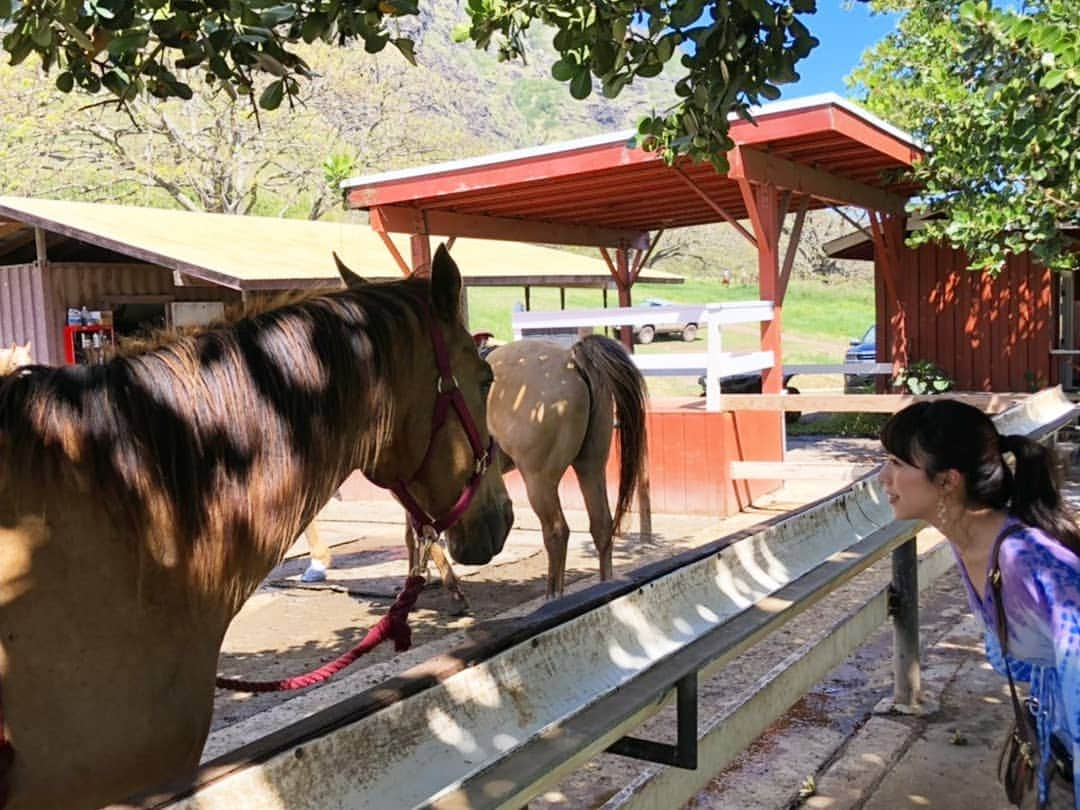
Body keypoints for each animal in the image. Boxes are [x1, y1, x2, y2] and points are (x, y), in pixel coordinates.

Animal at [304, 334, 648, 604]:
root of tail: (571, 360)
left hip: (539, 479)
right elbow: (412, 534)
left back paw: (554, 596)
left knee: (556, 531)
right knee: (601, 526)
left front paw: (450, 589)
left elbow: (422, 534)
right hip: (591, 466)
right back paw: (604, 587)